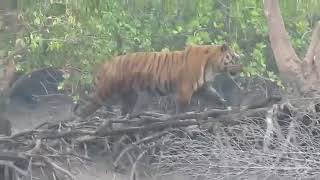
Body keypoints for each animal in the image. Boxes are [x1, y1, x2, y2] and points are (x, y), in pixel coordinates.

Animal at [73, 43, 242, 119]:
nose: (241, 67)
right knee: (88, 108)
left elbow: (216, 96)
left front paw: (225, 106)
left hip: (129, 95)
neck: (212, 66)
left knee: (126, 110)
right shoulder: (185, 89)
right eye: (234, 58)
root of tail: (106, 63)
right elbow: (182, 108)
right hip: (106, 91)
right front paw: (179, 118)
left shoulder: (203, 88)